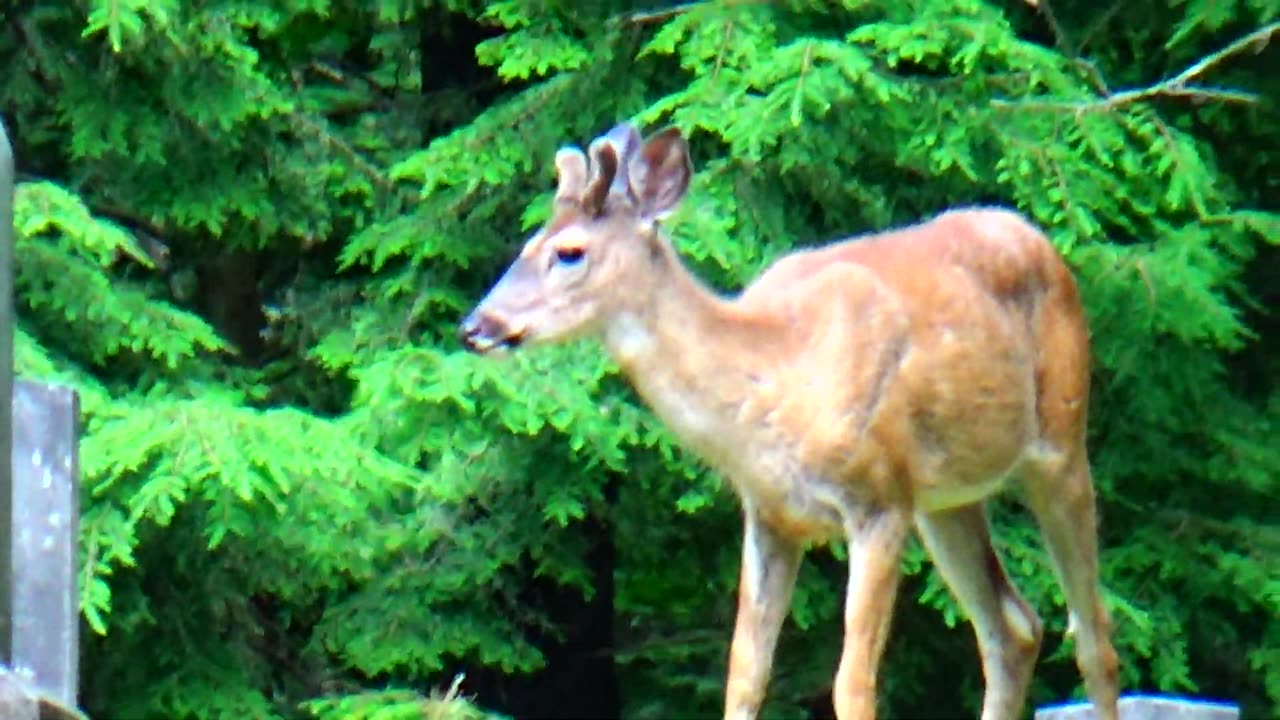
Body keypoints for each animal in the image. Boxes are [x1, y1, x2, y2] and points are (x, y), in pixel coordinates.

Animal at [460, 124, 1121, 717]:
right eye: (526, 244)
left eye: (568, 251)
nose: (475, 326)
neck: (773, 380)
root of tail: (1038, 240)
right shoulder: (769, 515)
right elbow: (744, 674)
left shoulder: (878, 500)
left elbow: (852, 687)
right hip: (946, 498)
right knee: (1013, 628)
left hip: (1060, 442)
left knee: (1095, 637)